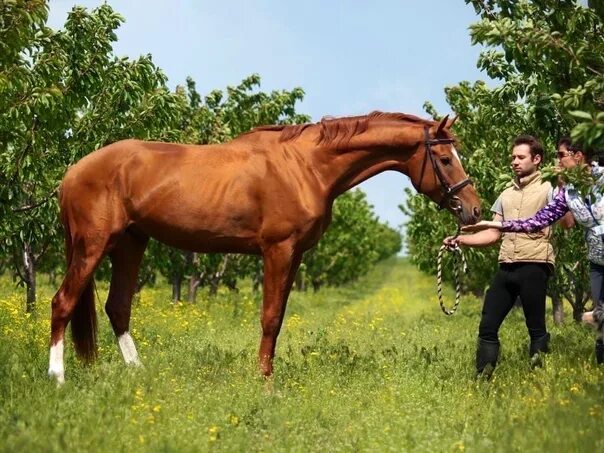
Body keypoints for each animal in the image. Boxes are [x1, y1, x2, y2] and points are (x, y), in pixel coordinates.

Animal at [47, 110, 482, 382]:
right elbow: (270, 317)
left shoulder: (295, 256)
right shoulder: (278, 250)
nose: (474, 209)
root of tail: (72, 171)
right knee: (63, 302)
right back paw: (57, 377)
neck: (305, 166)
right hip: (93, 245)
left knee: (117, 307)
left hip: (131, 243)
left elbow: (280, 317)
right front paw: (264, 379)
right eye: (445, 159)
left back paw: (138, 373)